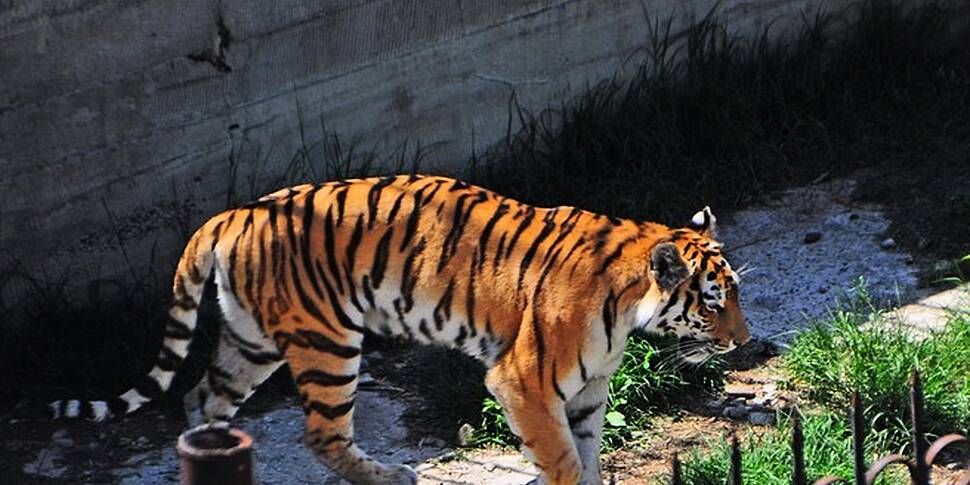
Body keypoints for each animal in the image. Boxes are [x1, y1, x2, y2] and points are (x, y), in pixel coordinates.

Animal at [51, 175, 748, 484]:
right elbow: (563, 460)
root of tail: (228, 216)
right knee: (321, 436)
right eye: (713, 303)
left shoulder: (587, 391)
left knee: (201, 399)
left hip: (250, 343)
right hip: (328, 344)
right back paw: (391, 476)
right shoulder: (524, 382)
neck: (625, 308)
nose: (743, 342)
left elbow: (588, 450)